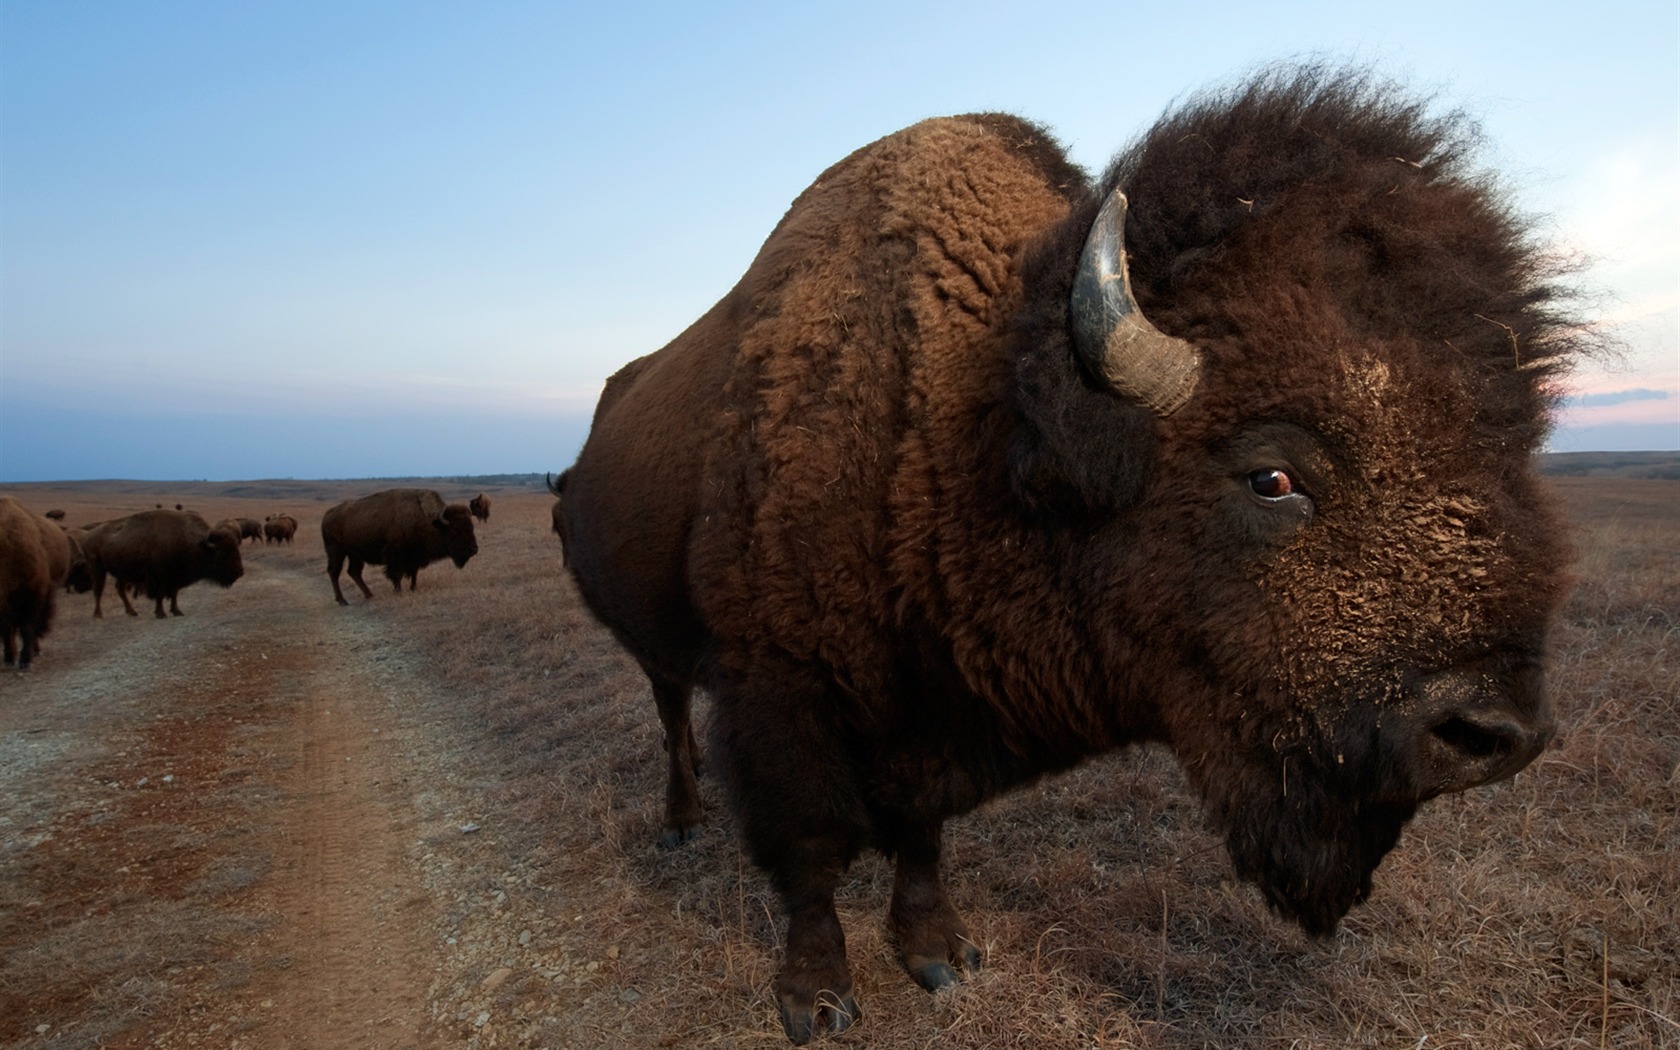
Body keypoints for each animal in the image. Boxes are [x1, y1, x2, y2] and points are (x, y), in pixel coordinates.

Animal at [84, 507, 245, 614]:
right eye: (221, 552)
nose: (240, 572)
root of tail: (90, 535)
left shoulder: (175, 577)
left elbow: (174, 593)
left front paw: (176, 611)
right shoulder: (160, 577)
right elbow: (160, 594)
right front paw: (161, 613)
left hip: (123, 574)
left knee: (119, 589)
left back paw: (132, 612)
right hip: (97, 568)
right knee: (98, 590)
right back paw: (98, 614)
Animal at [320, 483, 480, 601]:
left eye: (471, 527)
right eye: (454, 529)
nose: (473, 549)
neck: (429, 521)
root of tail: (328, 514)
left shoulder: (415, 557)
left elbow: (414, 573)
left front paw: (413, 589)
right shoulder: (395, 557)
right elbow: (396, 574)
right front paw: (399, 591)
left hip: (355, 554)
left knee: (354, 572)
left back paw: (369, 595)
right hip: (336, 551)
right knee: (334, 572)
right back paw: (342, 600)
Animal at [557, 67, 1592, 1041]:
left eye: (1510, 450)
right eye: (1271, 476)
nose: (1496, 735)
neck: (959, 422)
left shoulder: (926, 712)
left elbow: (919, 830)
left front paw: (940, 956)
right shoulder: (780, 695)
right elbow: (808, 852)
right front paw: (816, 998)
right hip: (655, 645)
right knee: (670, 712)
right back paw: (682, 821)